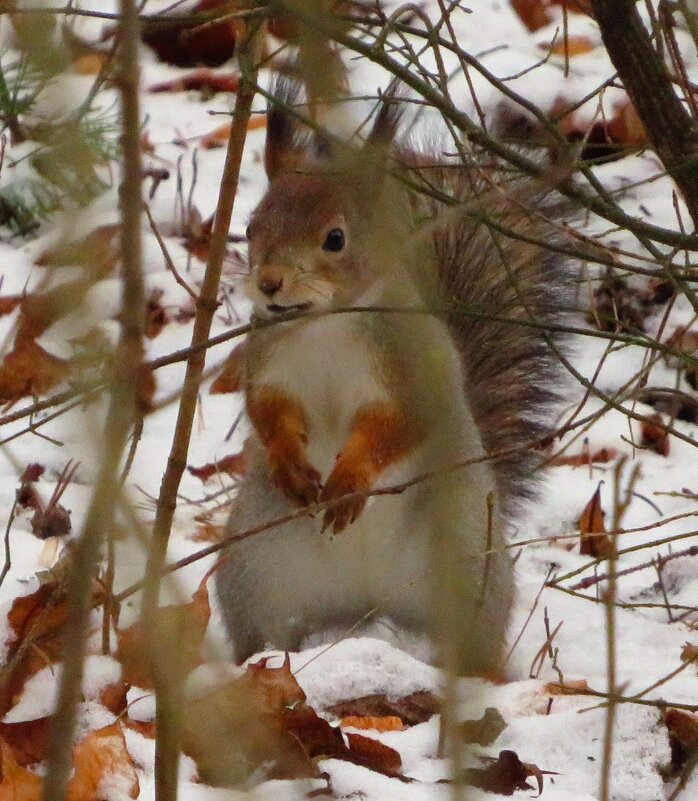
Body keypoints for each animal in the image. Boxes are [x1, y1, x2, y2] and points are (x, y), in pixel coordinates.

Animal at [215, 78, 572, 672]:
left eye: (335, 238)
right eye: (250, 227)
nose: (268, 284)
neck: (324, 324)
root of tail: (368, 602)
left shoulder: (411, 369)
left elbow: (397, 424)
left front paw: (351, 480)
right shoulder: (268, 363)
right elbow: (267, 411)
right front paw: (290, 463)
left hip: (467, 563)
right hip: (257, 572)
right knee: (269, 631)